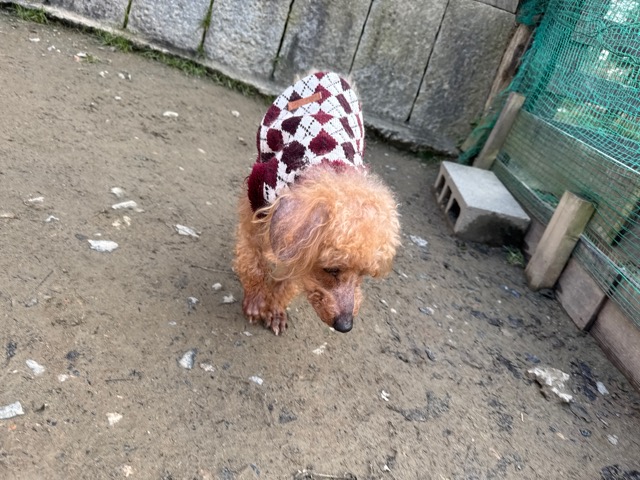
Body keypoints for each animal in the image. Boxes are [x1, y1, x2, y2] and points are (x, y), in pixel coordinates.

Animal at [234, 71, 400, 335]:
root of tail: (327, 72)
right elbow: (252, 259)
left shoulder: (299, 247)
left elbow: (292, 275)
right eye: (332, 270)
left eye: (364, 273)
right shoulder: (257, 202)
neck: (326, 165)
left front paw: (275, 310)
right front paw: (256, 300)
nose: (345, 326)